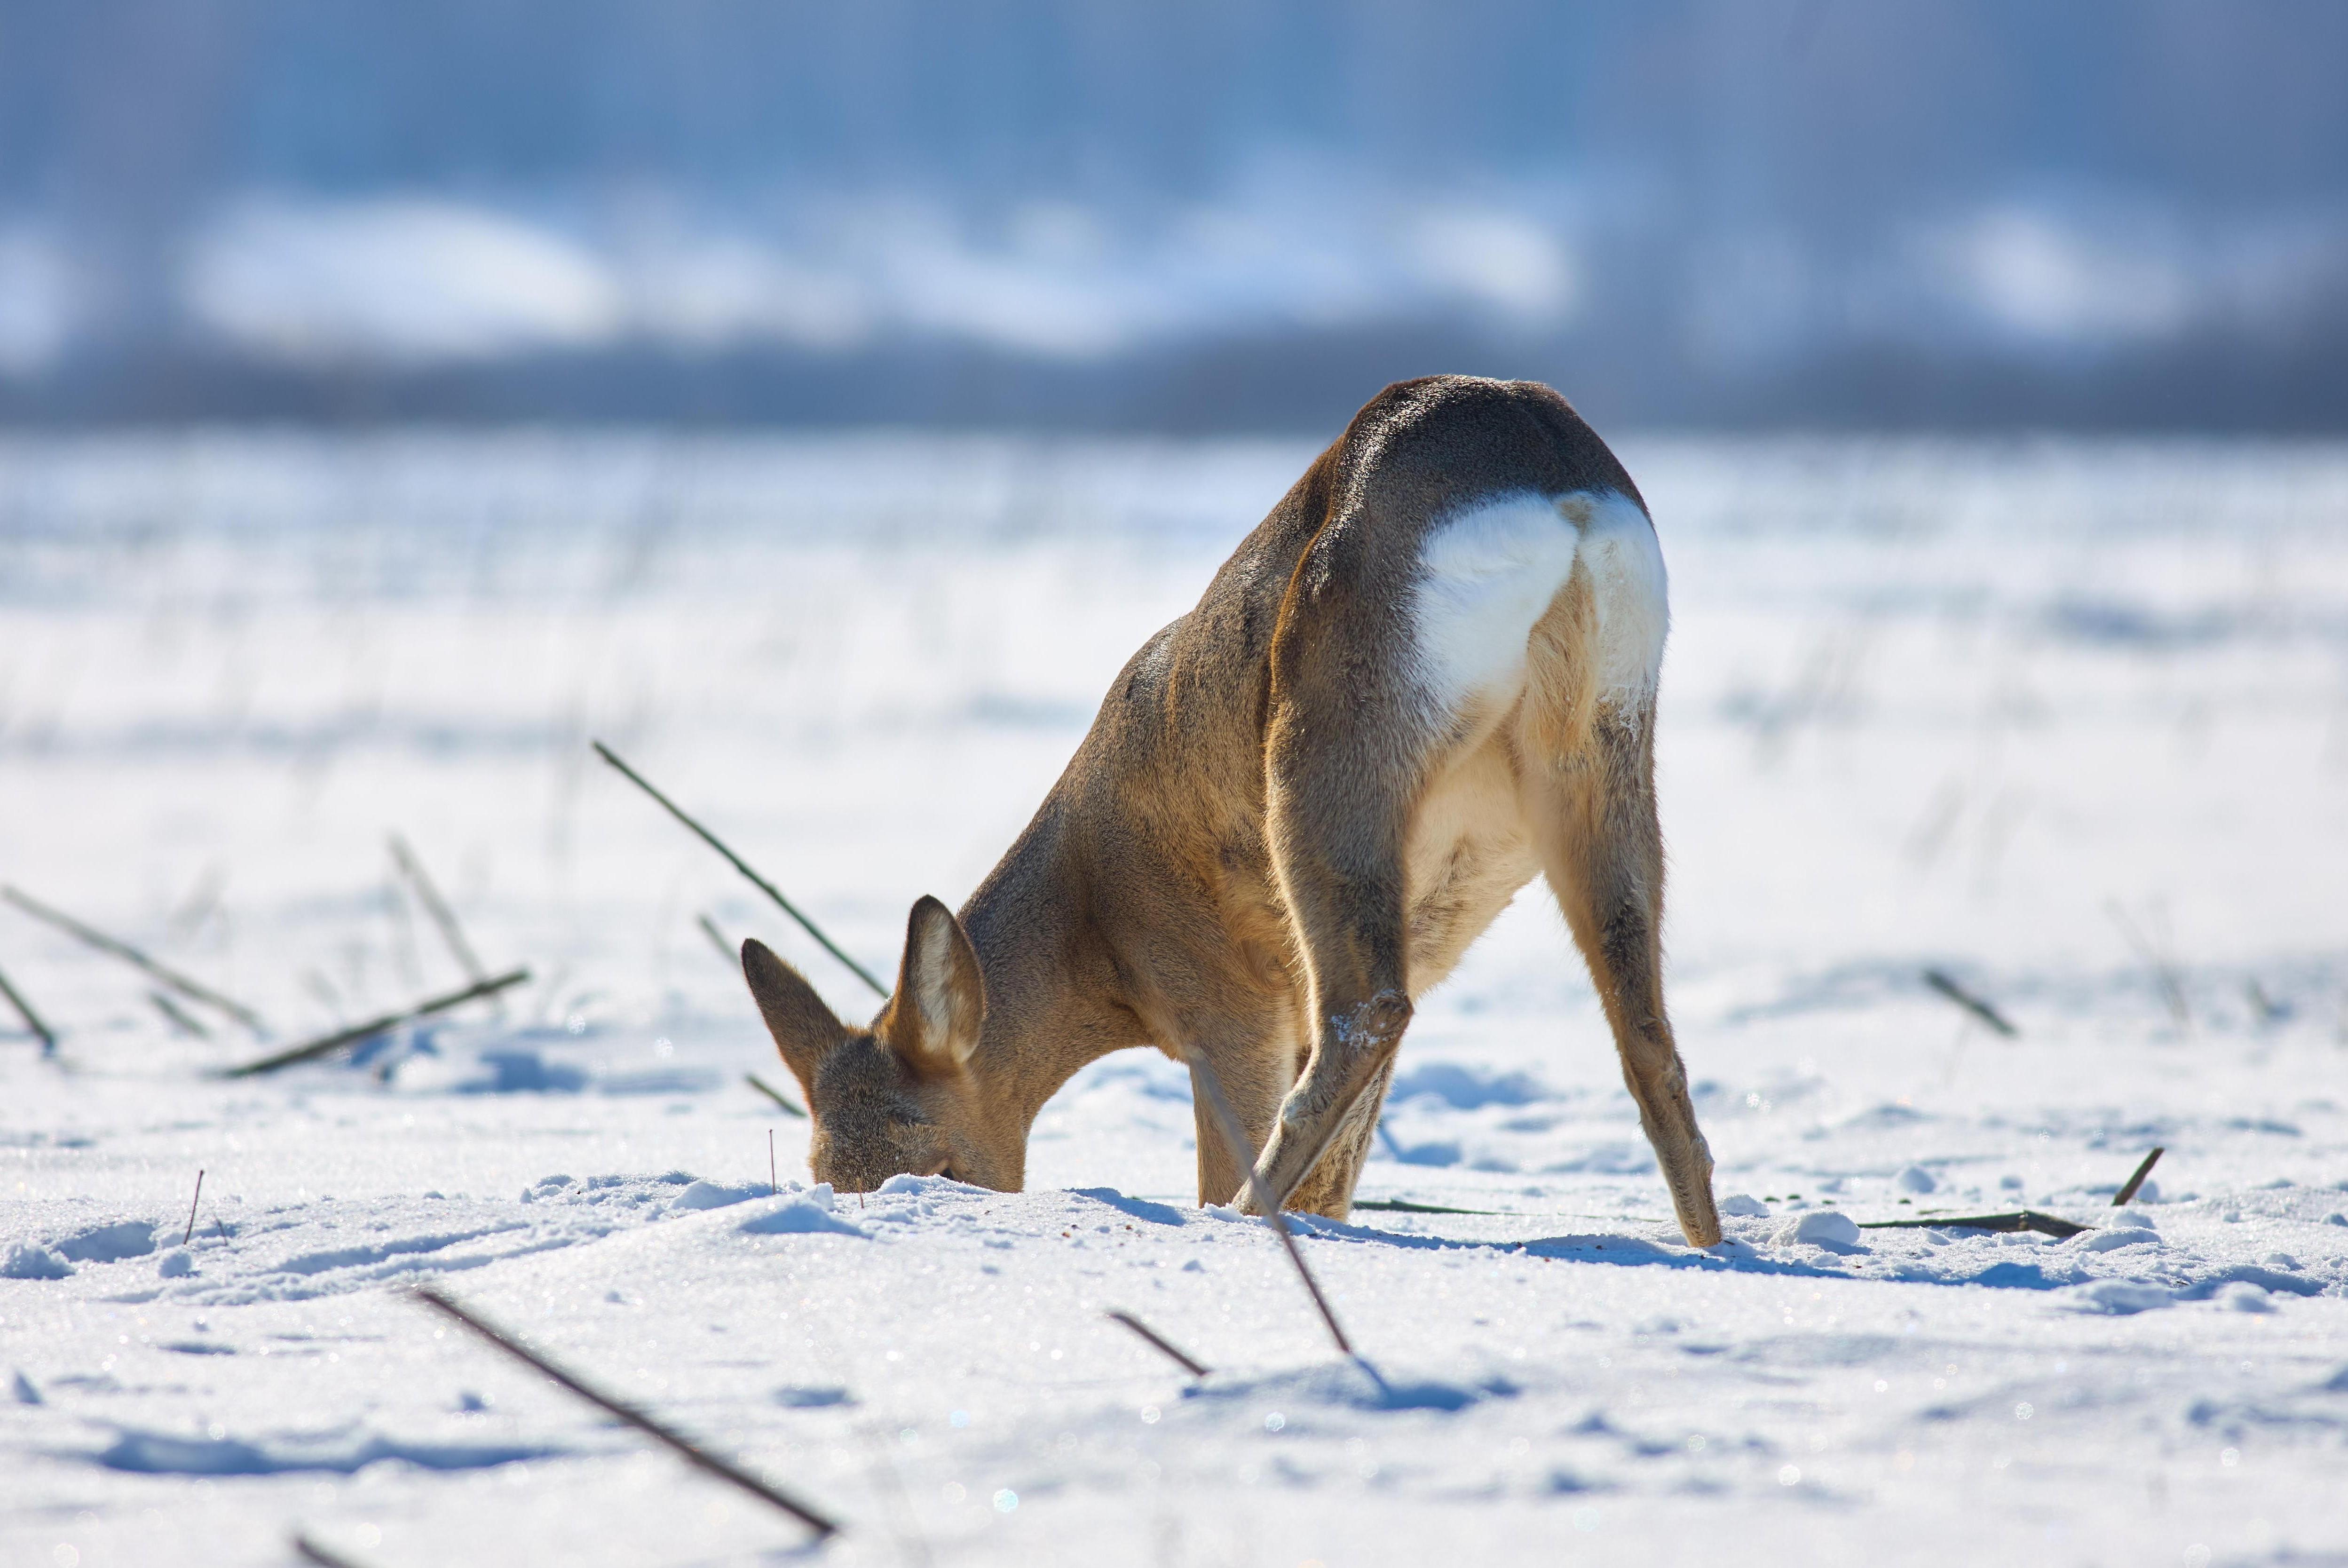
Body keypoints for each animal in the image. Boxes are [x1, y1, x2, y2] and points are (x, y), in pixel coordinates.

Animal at [741, 375, 1721, 1247]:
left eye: (942, 1166)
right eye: (823, 1170)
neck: (1094, 915)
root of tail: (1556, 483)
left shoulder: (1224, 993)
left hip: (1329, 742)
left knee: (1369, 1009)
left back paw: (1243, 1221)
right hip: (1602, 747)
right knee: (1645, 1034)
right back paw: (1711, 1246)